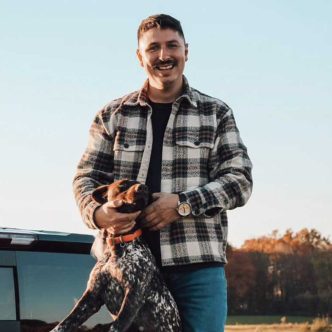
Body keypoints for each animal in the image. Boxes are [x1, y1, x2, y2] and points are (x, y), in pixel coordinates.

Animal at [51, 180, 180, 330]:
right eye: (122, 185)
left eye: (146, 188)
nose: (143, 187)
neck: (118, 246)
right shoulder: (92, 294)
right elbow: (65, 322)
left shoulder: (134, 294)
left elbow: (117, 325)